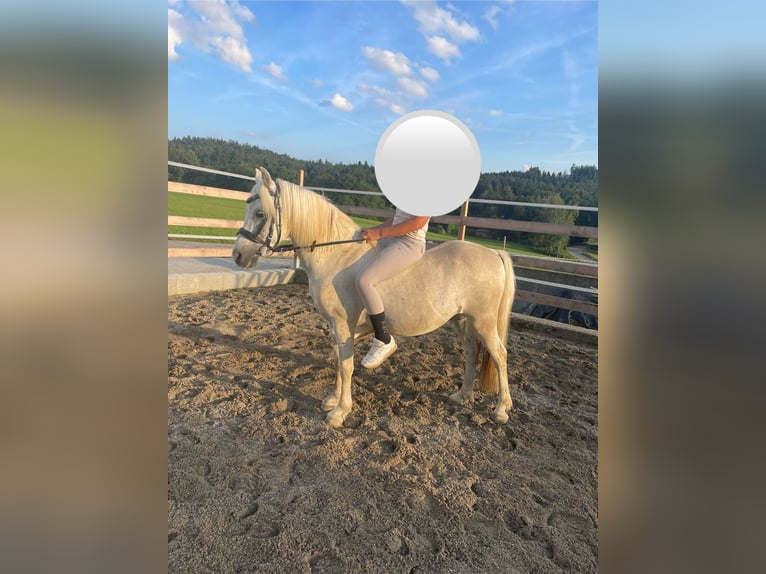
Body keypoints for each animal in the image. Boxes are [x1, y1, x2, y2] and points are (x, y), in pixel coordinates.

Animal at [232, 167, 516, 428]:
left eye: (260, 213)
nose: (238, 255)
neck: (337, 255)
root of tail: (494, 254)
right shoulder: (337, 325)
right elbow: (338, 358)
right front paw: (333, 400)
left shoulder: (342, 323)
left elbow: (346, 364)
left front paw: (340, 412)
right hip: (462, 320)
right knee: (471, 353)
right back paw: (462, 395)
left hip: (483, 321)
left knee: (499, 354)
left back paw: (502, 409)